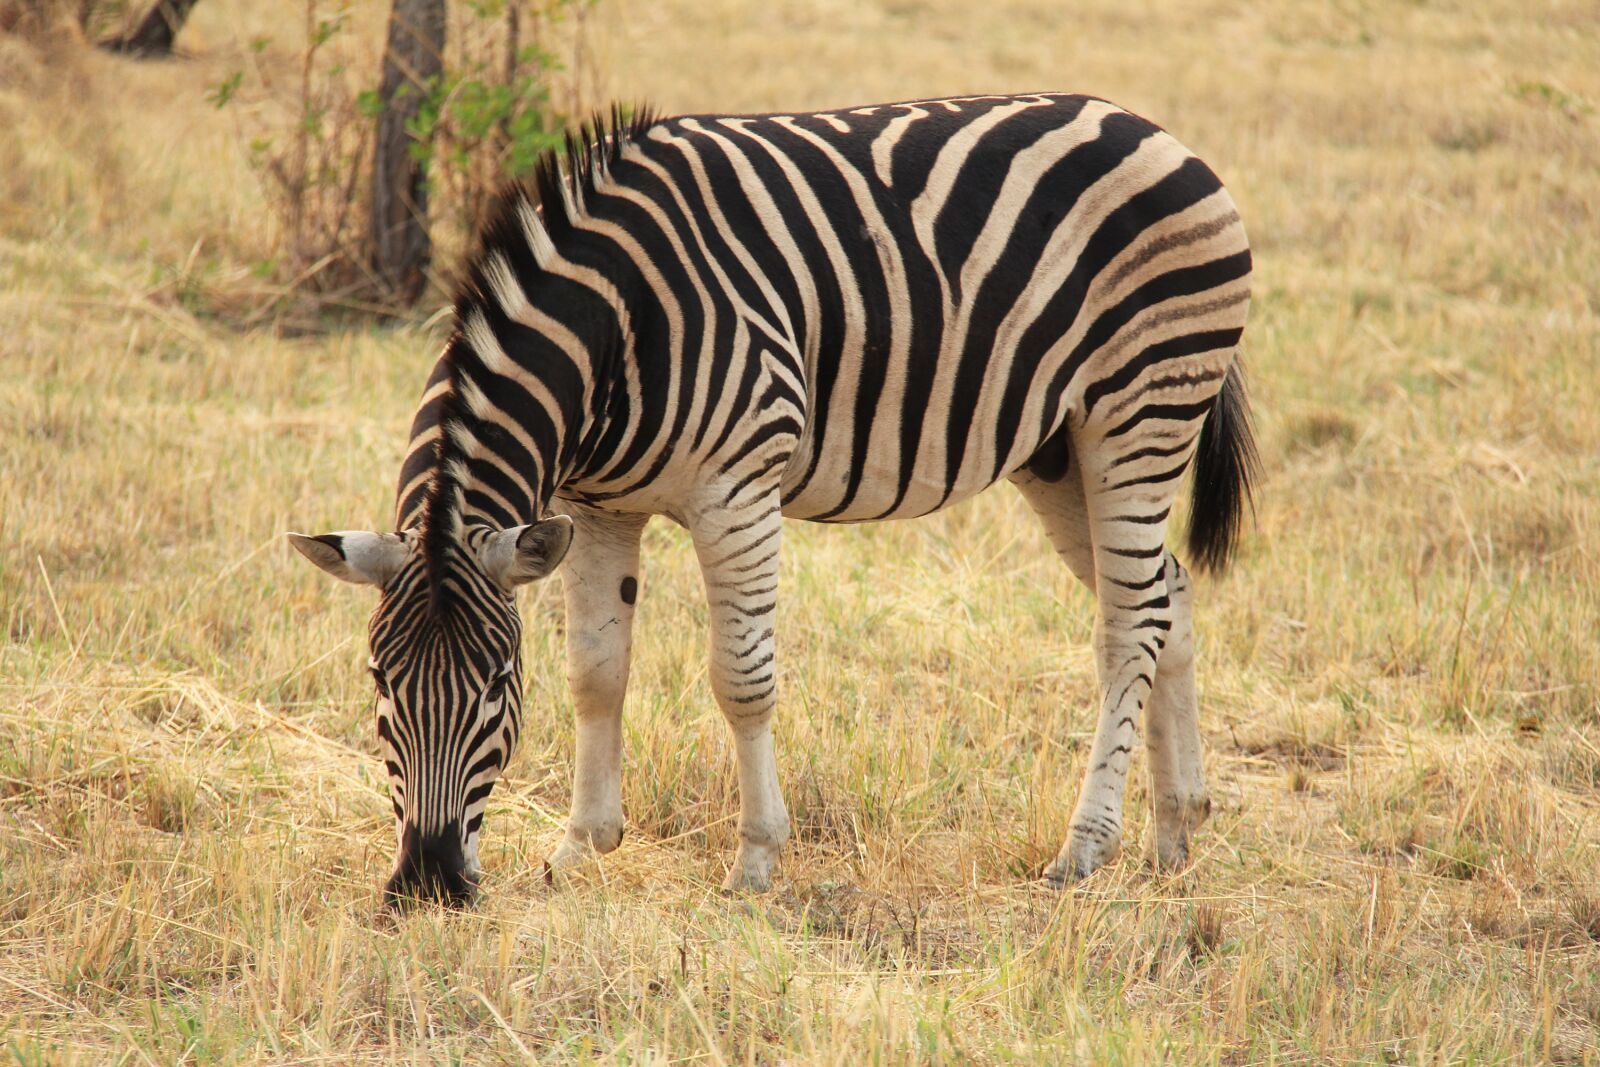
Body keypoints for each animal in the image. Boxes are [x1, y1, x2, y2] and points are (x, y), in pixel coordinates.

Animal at [289, 93, 1256, 905]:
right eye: (378, 680)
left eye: (495, 685)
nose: (428, 883)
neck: (617, 326)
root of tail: (1155, 130)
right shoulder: (596, 506)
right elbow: (596, 671)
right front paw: (581, 844)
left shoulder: (737, 488)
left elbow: (740, 678)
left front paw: (756, 857)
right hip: (1059, 449)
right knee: (1165, 595)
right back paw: (1176, 831)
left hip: (1141, 410)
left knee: (1127, 626)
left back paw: (1085, 846)